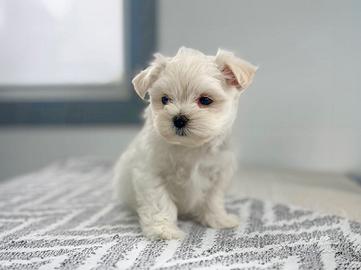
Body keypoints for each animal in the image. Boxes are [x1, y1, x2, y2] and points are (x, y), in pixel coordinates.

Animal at [112, 47, 256, 239]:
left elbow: (213, 198)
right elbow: (160, 202)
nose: (179, 119)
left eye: (205, 100)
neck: (190, 146)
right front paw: (163, 230)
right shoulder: (151, 173)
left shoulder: (219, 171)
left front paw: (218, 219)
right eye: (165, 99)